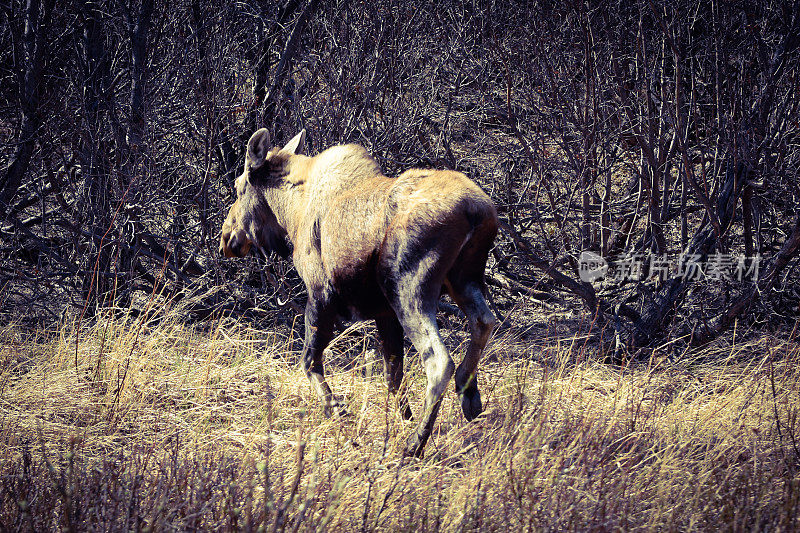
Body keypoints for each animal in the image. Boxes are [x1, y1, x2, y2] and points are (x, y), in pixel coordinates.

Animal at [219, 128, 494, 454]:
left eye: (239, 188)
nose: (226, 237)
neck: (291, 214)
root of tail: (477, 210)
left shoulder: (321, 293)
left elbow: (309, 361)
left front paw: (336, 409)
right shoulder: (383, 312)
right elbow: (393, 375)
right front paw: (400, 420)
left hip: (409, 285)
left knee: (439, 360)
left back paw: (415, 444)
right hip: (464, 279)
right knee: (484, 321)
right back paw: (469, 395)